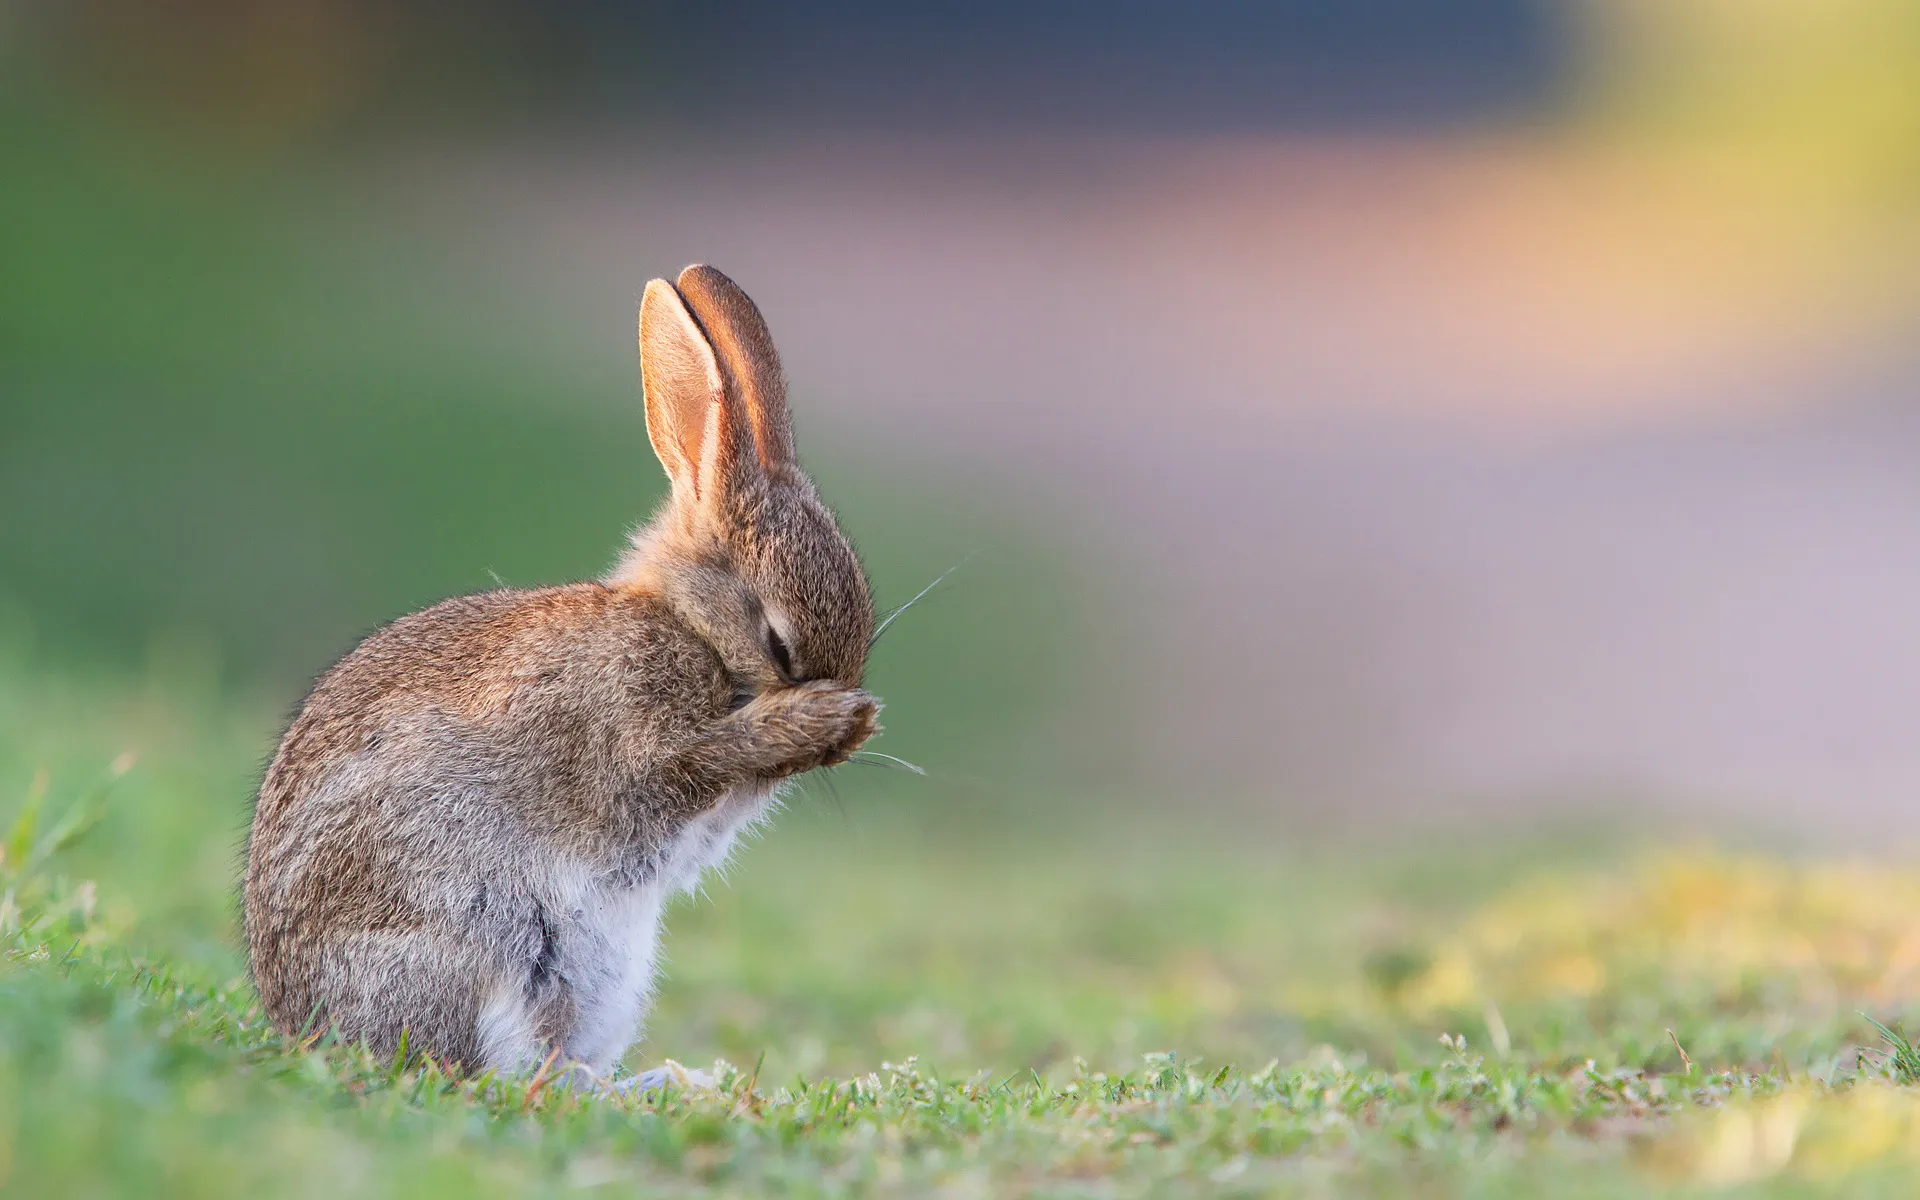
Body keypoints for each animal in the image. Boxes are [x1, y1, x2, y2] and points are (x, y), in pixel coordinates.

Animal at [240, 264, 879, 1082]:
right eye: (778, 644)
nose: (844, 730)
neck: (688, 626)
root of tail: (307, 1027)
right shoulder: (636, 742)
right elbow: (689, 764)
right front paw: (820, 719)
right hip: (483, 945)